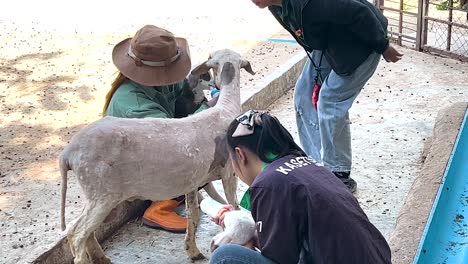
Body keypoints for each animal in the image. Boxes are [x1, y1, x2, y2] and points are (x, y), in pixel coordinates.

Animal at [60, 49, 256, 262]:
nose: (214, 85)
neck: (225, 109)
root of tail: (68, 153)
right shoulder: (229, 172)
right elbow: (233, 204)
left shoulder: (193, 181)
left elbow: (194, 214)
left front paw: (192, 250)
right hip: (101, 191)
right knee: (78, 233)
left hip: (97, 193)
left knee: (78, 229)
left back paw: (101, 258)